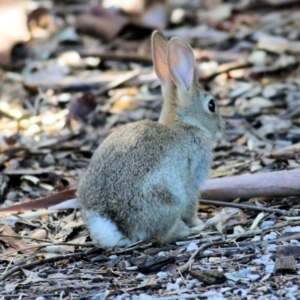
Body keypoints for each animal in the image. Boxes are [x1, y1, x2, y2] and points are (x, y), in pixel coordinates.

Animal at [78, 30, 225, 248]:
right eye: (211, 105)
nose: (222, 128)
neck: (184, 124)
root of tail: (117, 226)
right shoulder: (193, 181)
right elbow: (192, 205)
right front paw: (198, 222)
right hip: (167, 193)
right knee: (161, 235)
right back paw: (190, 230)